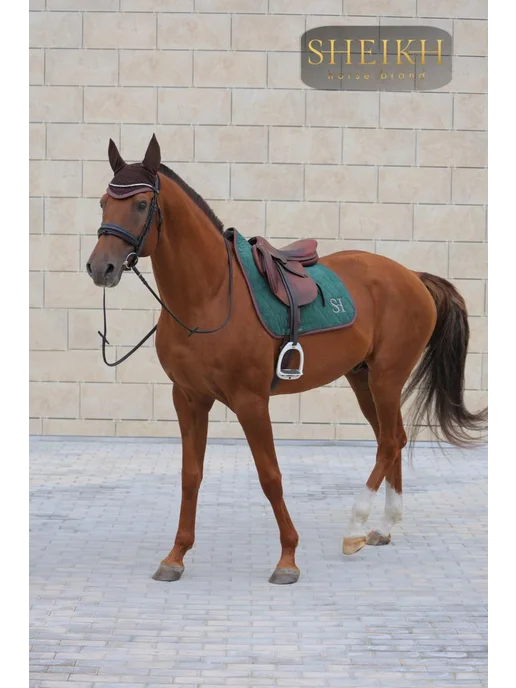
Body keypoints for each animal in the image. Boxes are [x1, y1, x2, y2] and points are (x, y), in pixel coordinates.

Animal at [86, 135, 487, 585]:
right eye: (103, 202)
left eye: (140, 204)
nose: (100, 267)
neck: (210, 297)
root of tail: (412, 277)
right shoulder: (188, 398)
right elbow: (191, 476)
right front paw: (176, 555)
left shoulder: (250, 401)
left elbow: (270, 476)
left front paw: (288, 559)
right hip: (362, 378)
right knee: (394, 438)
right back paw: (382, 527)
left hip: (386, 377)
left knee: (387, 441)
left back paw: (355, 527)